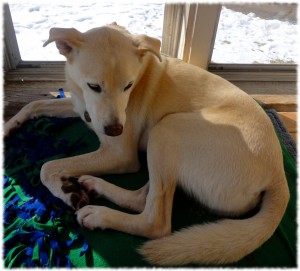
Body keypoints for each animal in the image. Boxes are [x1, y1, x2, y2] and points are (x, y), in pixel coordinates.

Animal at [4, 23, 290, 266]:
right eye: (94, 86)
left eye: (129, 86)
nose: (116, 130)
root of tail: (278, 176)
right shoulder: (81, 108)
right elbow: (34, 104)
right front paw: (10, 126)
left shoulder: (120, 154)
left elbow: (48, 167)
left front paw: (66, 193)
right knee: (144, 198)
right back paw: (95, 186)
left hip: (167, 128)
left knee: (156, 222)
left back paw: (99, 214)